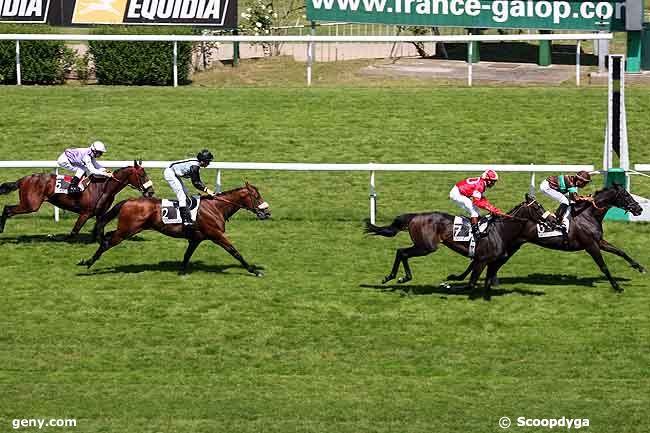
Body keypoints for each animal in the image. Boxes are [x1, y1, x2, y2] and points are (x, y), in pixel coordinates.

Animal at [0, 160, 154, 238]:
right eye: (142, 175)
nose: (151, 192)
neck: (104, 187)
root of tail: (23, 179)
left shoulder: (100, 213)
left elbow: (99, 229)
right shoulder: (86, 213)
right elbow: (75, 231)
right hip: (31, 205)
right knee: (8, 209)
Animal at [79, 181, 270, 276]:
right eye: (256, 196)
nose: (267, 212)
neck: (216, 207)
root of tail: (129, 200)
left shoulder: (196, 238)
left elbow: (187, 255)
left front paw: (181, 271)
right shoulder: (217, 235)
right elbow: (235, 252)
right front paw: (254, 271)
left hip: (128, 229)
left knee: (106, 237)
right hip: (127, 230)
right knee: (107, 242)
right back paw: (87, 262)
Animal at [364, 197, 548, 298]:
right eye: (537, 207)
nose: (552, 219)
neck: (500, 230)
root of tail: (415, 216)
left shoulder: (485, 260)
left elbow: (482, 281)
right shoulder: (482, 260)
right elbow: (470, 284)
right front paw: (446, 285)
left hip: (423, 246)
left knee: (401, 252)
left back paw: (393, 277)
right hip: (426, 246)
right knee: (402, 252)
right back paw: (400, 277)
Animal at [446, 184, 644, 292]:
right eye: (625, 195)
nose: (639, 209)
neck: (588, 214)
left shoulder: (599, 241)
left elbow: (621, 251)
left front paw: (639, 267)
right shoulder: (590, 245)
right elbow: (603, 266)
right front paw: (617, 287)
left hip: (513, 246)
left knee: (488, 262)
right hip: (511, 246)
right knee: (488, 262)